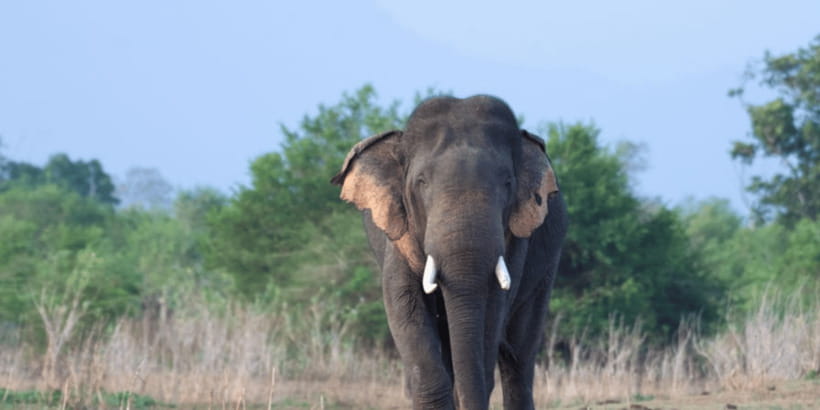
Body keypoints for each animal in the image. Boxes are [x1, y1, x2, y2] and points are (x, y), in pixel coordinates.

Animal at [331, 95, 567, 409]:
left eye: (507, 183)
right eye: (421, 182)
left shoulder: (515, 239)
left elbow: (493, 309)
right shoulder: (399, 234)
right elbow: (404, 303)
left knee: (519, 356)